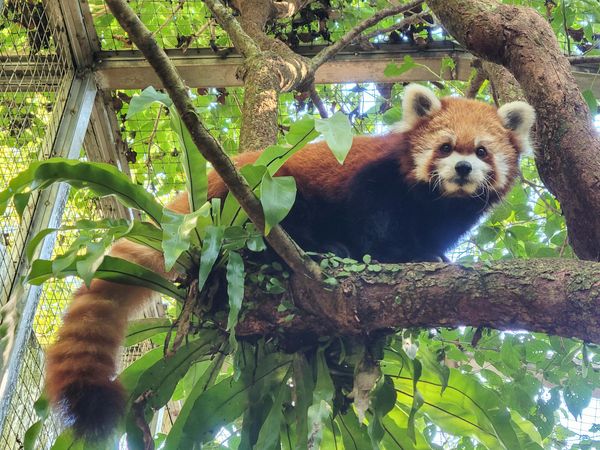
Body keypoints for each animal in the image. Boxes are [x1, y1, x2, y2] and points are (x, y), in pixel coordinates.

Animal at [44, 85, 536, 440]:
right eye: (447, 147)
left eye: (482, 152)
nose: (462, 170)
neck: (436, 203)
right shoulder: (373, 181)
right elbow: (373, 224)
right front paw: (386, 256)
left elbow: (430, 239)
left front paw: (431, 256)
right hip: (252, 204)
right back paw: (317, 249)